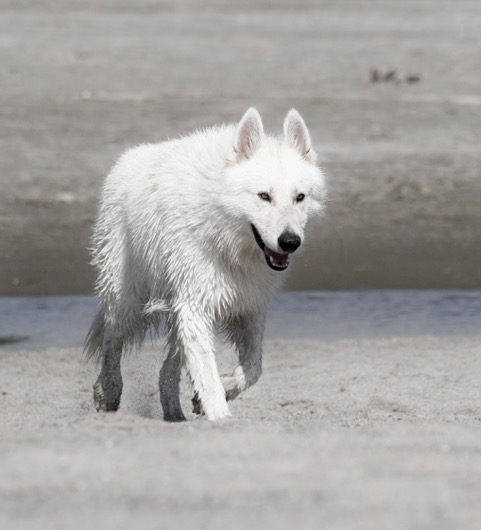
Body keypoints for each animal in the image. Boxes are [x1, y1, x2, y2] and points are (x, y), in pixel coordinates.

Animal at [86, 108, 326, 420]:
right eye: (264, 196)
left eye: (299, 197)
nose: (290, 241)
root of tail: (124, 159)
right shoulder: (194, 305)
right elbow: (208, 377)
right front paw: (220, 417)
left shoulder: (249, 305)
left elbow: (253, 368)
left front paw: (220, 392)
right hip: (128, 297)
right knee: (112, 339)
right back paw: (108, 391)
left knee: (167, 370)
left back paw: (174, 415)